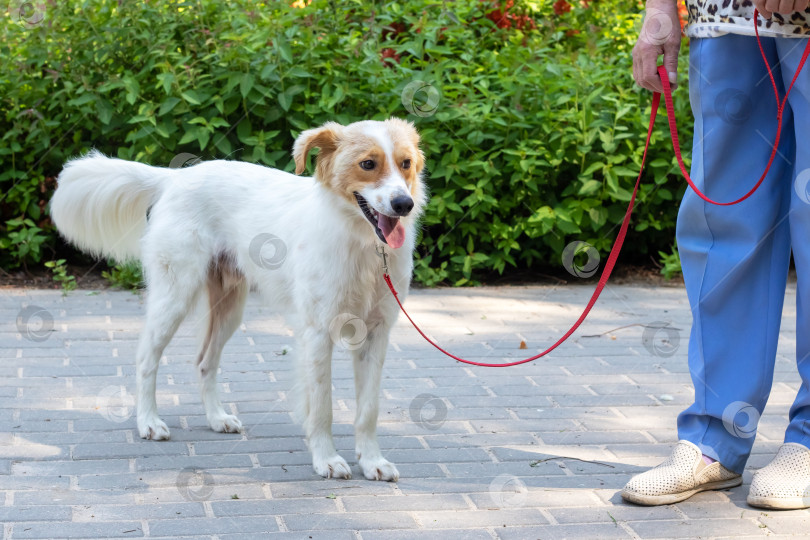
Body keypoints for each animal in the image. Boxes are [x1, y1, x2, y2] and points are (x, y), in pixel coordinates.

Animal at [49, 119, 426, 480]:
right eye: (368, 164)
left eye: (406, 164)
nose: (403, 204)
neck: (364, 246)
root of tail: (176, 177)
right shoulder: (318, 333)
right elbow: (322, 408)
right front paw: (327, 460)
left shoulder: (376, 333)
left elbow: (368, 410)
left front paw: (372, 461)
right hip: (174, 297)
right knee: (145, 359)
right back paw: (148, 422)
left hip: (229, 309)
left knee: (205, 362)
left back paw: (217, 418)